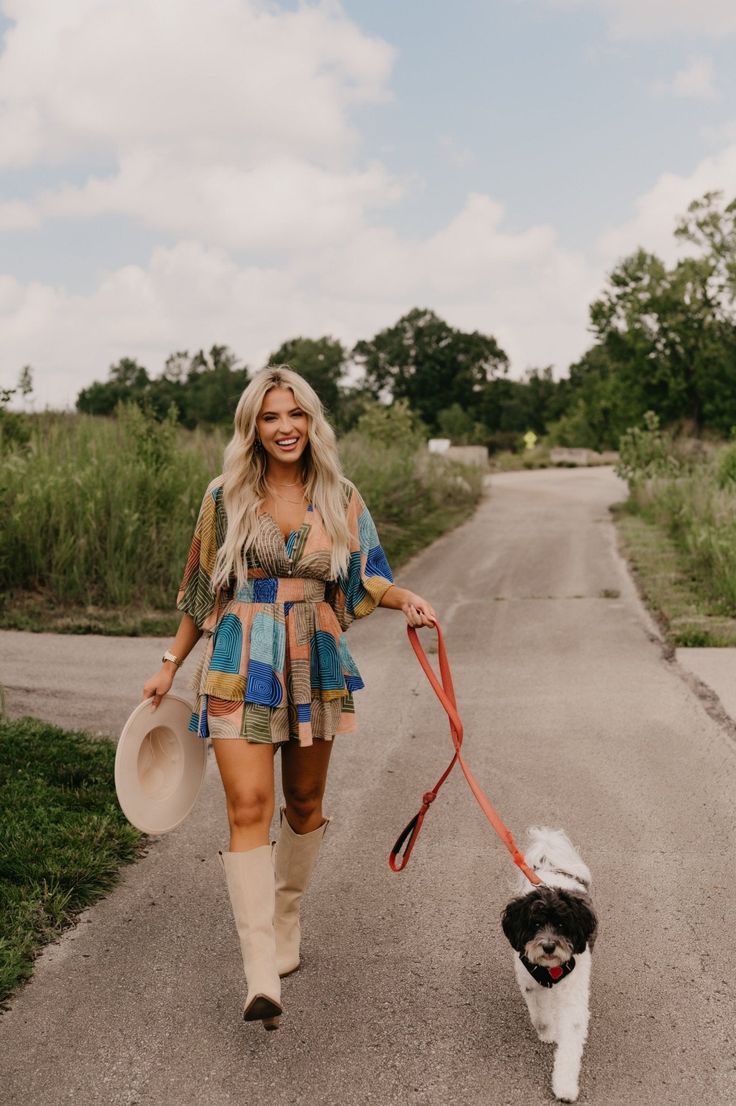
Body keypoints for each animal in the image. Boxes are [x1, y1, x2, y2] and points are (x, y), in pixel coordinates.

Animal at [500, 827, 597, 1101]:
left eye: (563, 925)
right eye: (535, 924)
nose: (549, 946)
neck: (551, 967)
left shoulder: (574, 993)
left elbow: (570, 1042)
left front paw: (565, 1086)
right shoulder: (530, 982)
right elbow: (541, 1016)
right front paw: (548, 1033)